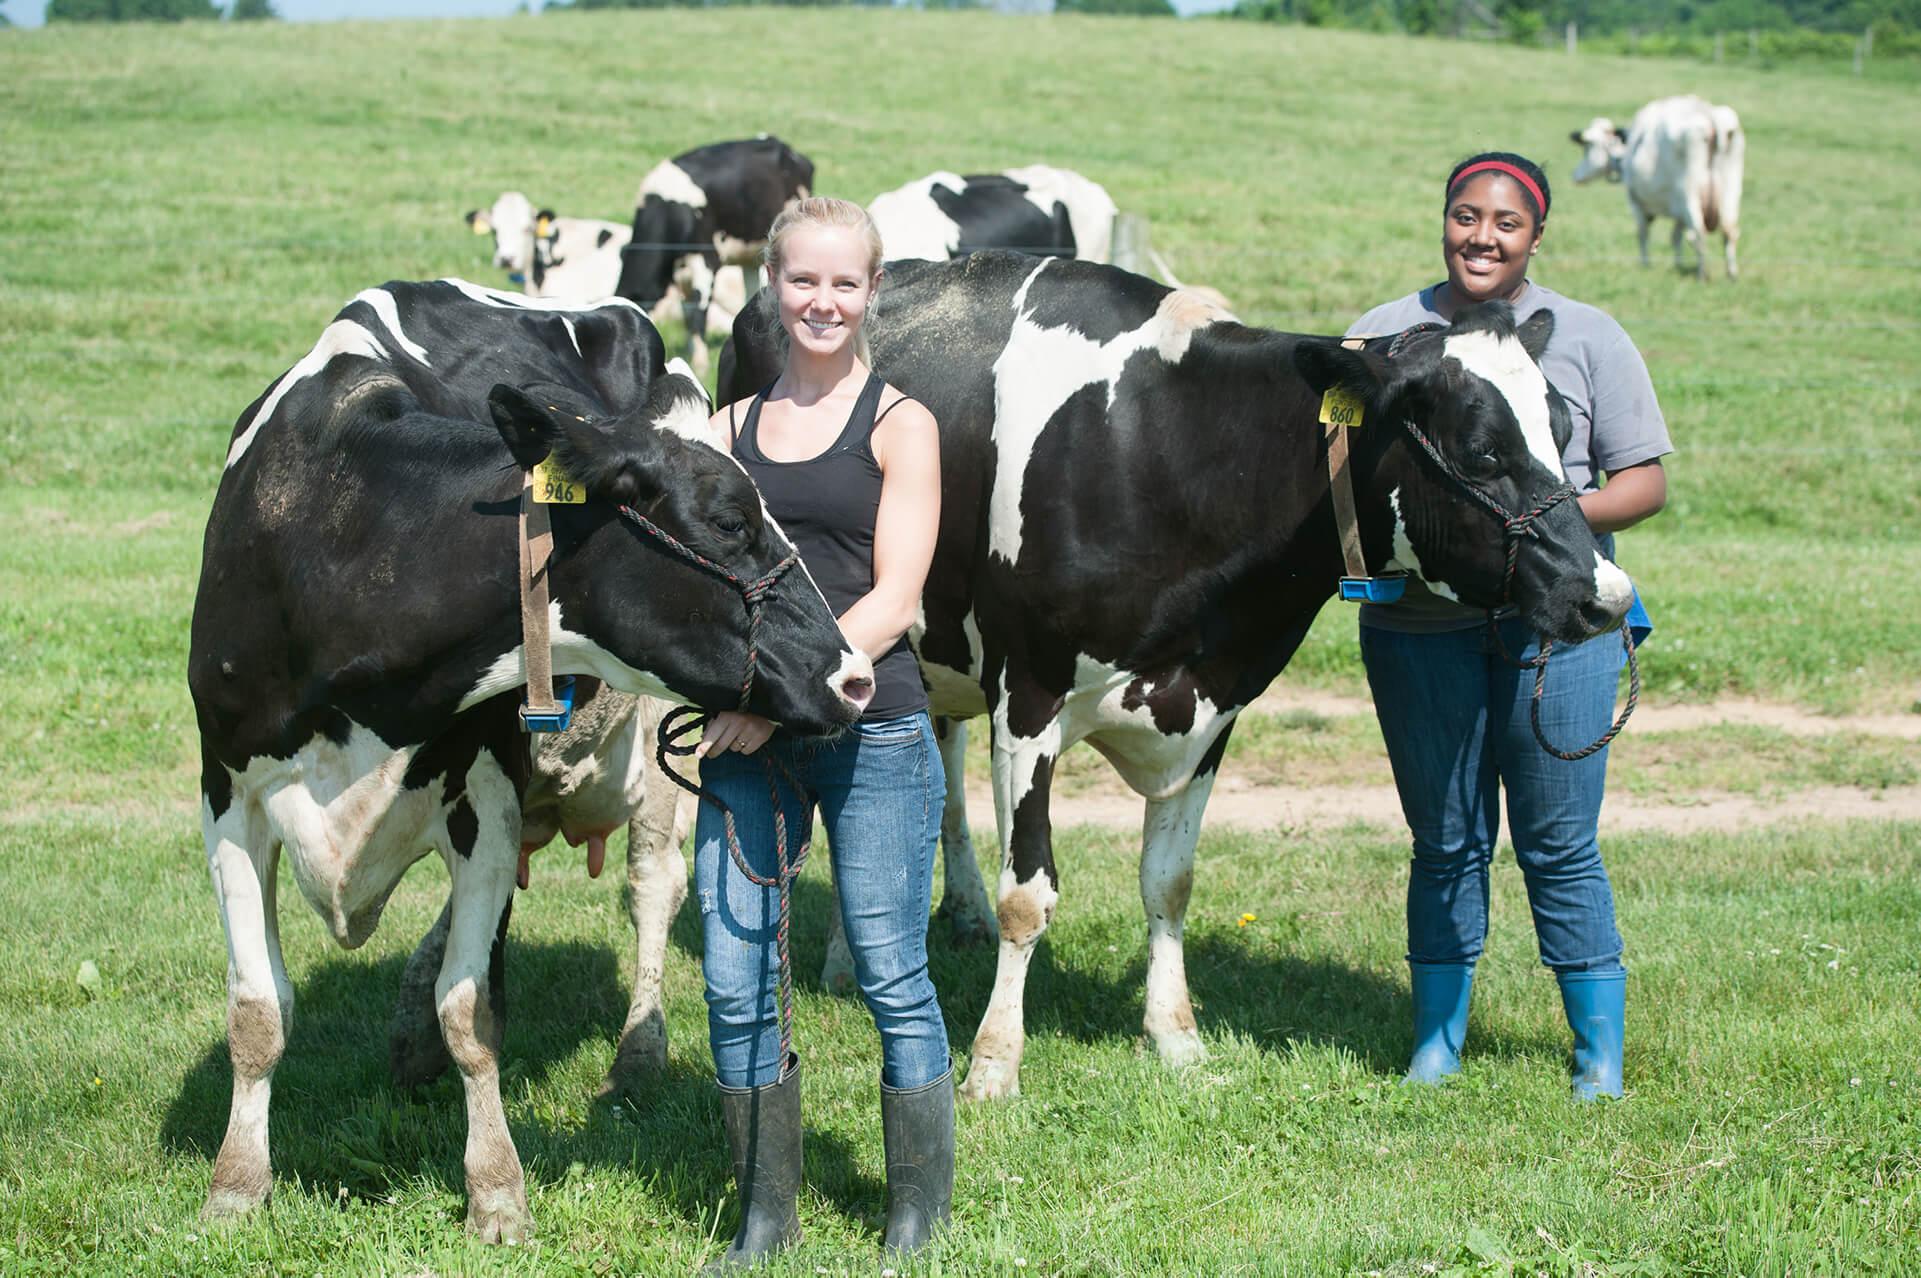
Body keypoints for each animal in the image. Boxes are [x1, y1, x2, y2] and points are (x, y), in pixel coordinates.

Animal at [187, 276, 872, 1237]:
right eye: (730, 520)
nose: (853, 675)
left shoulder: (484, 796)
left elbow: (471, 1012)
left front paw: (496, 1191)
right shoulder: (227, 792)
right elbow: (257, 1010)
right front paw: (236, 1186)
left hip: (651, 758)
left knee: (653, 889)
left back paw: (635, 1054)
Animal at [722, 251, 1636, 1099]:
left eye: (1563, 428)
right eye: (1481, 452)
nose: (1603, 596)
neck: (1170, 453)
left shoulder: (1213, 707)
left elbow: (1169, 884)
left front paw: (1175, 1038)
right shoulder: (1028, 695)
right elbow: (1030, 896)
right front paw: (992, 1063)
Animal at [1567, 94, 1751, 282]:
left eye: (1587, 146)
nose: (1575, 176)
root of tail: (1710, 116)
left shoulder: (1635, 200)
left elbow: (1642, 233)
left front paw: (1645, 264)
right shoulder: (1678, 211)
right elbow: (1675, 237)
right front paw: (1678, 264)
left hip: (1688, 192)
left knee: (1698, 234)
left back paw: (1702, 275)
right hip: (1731, 188)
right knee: (1729, 232)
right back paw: (1732, 274)